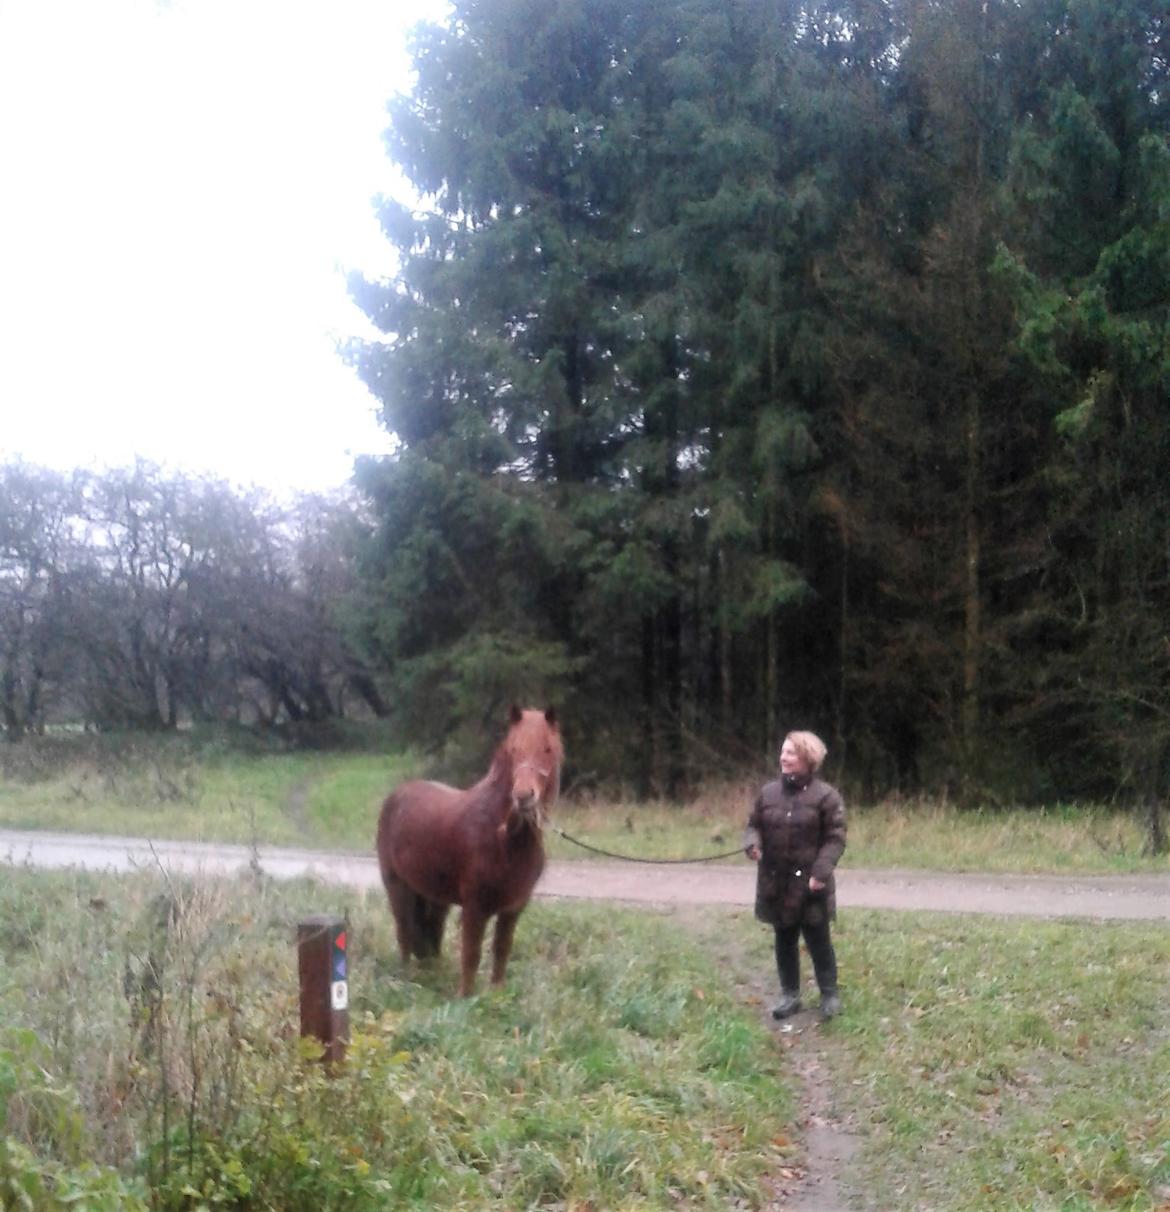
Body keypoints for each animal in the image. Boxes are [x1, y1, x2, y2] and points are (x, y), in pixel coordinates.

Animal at [371, 707, 560, 998]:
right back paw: (407, 980)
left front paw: (497, 996)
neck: (503, 837)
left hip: (435, 896)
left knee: (432, 933)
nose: (523, 796)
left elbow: (501, 951)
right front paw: (466, 998)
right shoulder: (475, 907)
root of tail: (397, 794)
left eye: (547, 749)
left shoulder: (513, 908)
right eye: (513, 749)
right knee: (404, 930)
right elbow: (471, 953)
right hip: (397, 886)